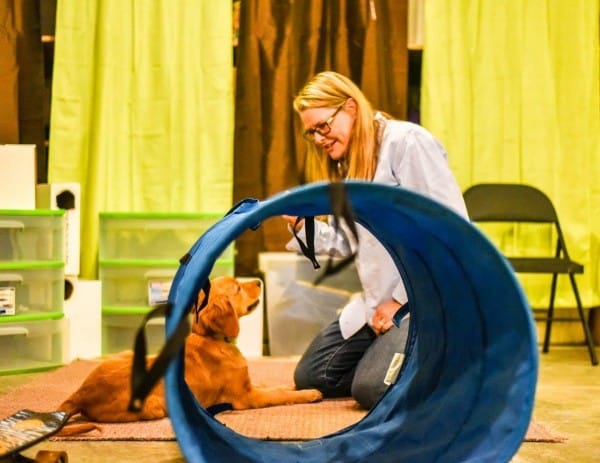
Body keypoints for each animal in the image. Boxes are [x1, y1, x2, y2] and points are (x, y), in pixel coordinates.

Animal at [58, 276, 324, 424]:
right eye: (237, 288)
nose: (259, 281)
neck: (214, 338)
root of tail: (81, 393)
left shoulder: (249, 386)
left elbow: (274, 386)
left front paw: (294, 385)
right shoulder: (247, 397)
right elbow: (278, 395)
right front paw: (309, 393)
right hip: (154, 406)